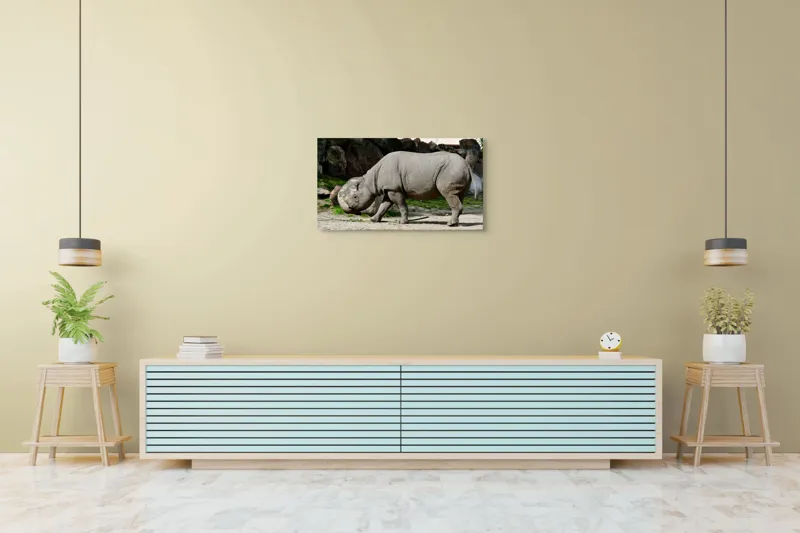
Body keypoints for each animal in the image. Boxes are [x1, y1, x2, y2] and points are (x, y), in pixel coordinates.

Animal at [336, 151, 482, 226]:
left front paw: (402, 222)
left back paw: (450, 224)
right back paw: (455, 223)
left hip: (451, 170)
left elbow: (401, 205)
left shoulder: (394, 189)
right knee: (459, 195)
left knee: (448, 194)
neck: (370, 181)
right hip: (457, 169)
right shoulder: (389, 189)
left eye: (355, 197)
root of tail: (466, 164)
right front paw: (373, 220)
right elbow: (384, 206)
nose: (350, 209)